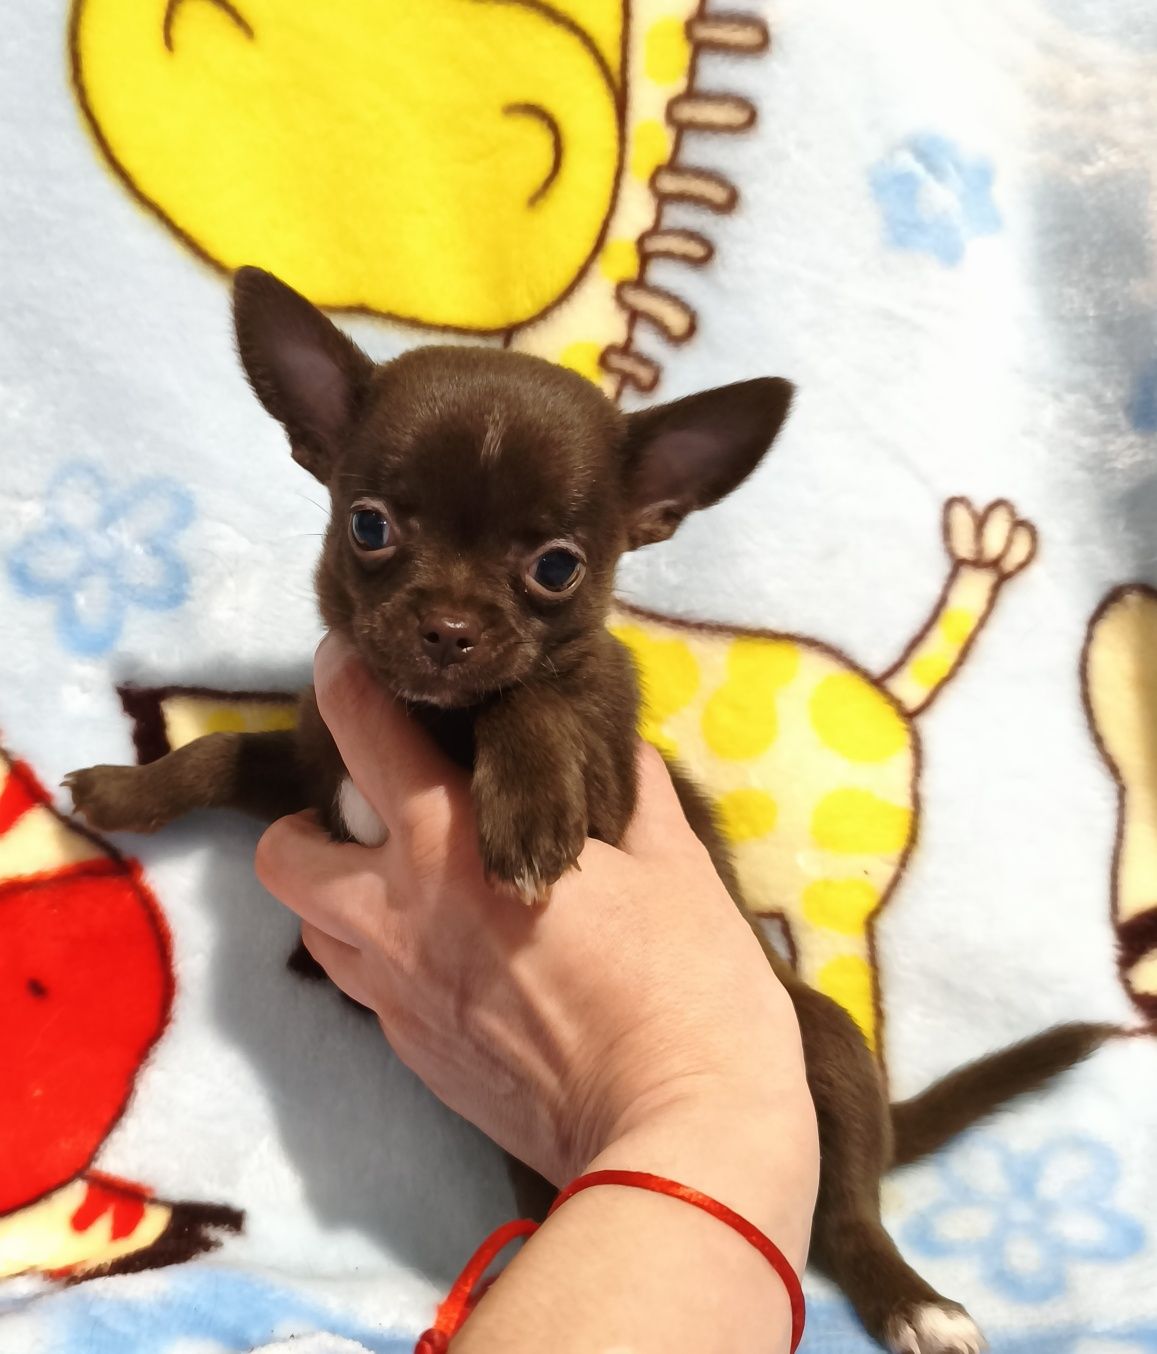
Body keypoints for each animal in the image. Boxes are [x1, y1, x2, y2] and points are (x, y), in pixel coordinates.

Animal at [67, 267, 1115, 1354]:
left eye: (557, 567)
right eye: (369, 526)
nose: (448, 629)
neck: (432, 717)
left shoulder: (607, 783)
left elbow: (529, 697)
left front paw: (526, 815)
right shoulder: (318, 768)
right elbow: (220, 753)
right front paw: (124, 790)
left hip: (823, 1047)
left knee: (846, 1217)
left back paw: (914, 1301)